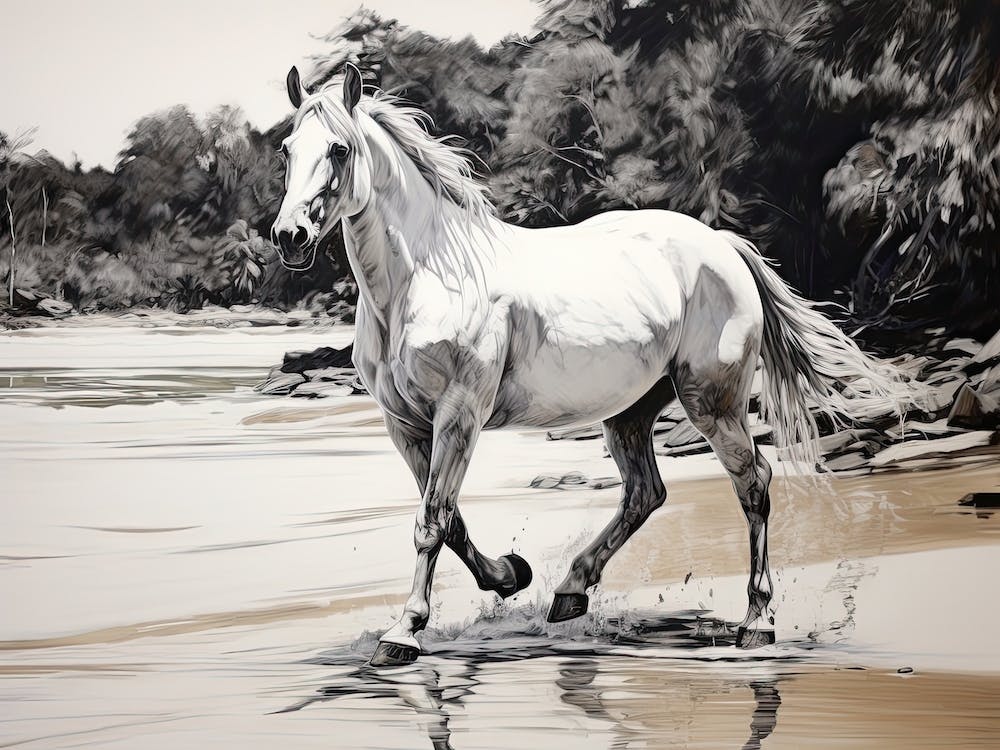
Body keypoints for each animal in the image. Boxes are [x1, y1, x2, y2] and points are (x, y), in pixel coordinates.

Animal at [271, 63, 909, 667]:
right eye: (287, 149)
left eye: (340, 149)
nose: (289, 236)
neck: (426, 278)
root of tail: (723, 246)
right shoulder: (404, 424)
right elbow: (450, 521)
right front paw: (511, 575)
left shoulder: (459, 414)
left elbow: (433, 522)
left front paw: (403, 634)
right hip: (631, 411)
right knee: (645, 493)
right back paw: (569, 592)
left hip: (714, 402)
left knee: (753, 483)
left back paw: (757, 622)